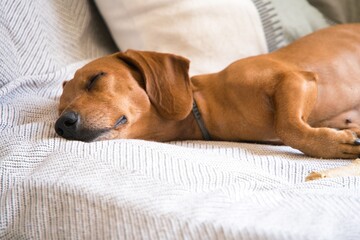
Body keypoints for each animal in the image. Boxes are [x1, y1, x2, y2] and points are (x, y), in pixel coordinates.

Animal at [55, 23, 360, 180]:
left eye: (95, 78)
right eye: (60, 107)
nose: (62, 124)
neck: (206, 106)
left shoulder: (295, 78)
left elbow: (288, 127)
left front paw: (335, 144)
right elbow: (288, 127)